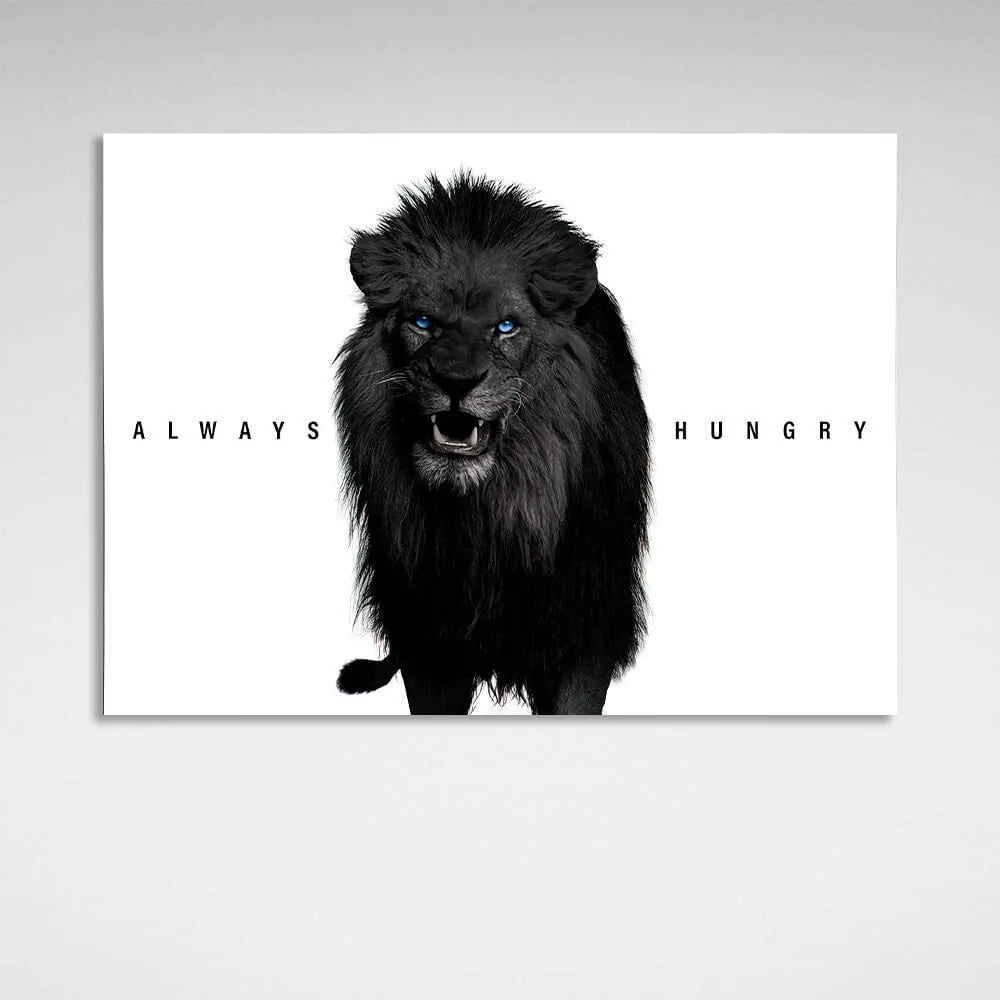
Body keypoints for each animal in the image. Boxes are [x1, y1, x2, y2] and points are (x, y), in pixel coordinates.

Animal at [335, 173, 650, 714]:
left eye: (505, 327)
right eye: (423, 323)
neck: (487, 518)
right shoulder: (427, 639)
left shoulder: (585, 625)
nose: (456, 381)